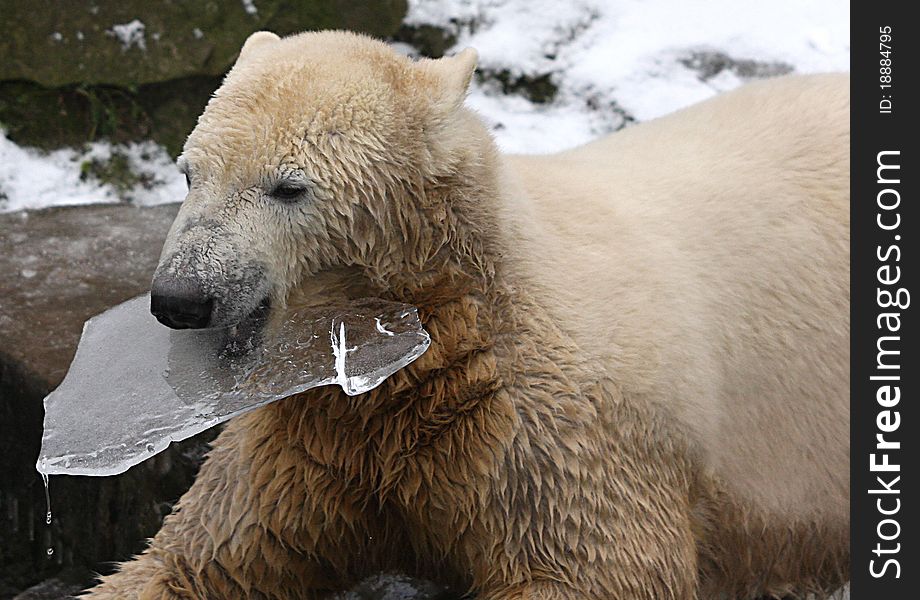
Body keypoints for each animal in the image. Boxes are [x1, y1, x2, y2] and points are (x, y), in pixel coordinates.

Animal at [86, 31, 848, 600]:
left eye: (289, 187)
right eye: (189, 172)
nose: (181, 298)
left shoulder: (548, 435)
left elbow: (603, 569)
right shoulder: (312, 433)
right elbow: (202, 555)